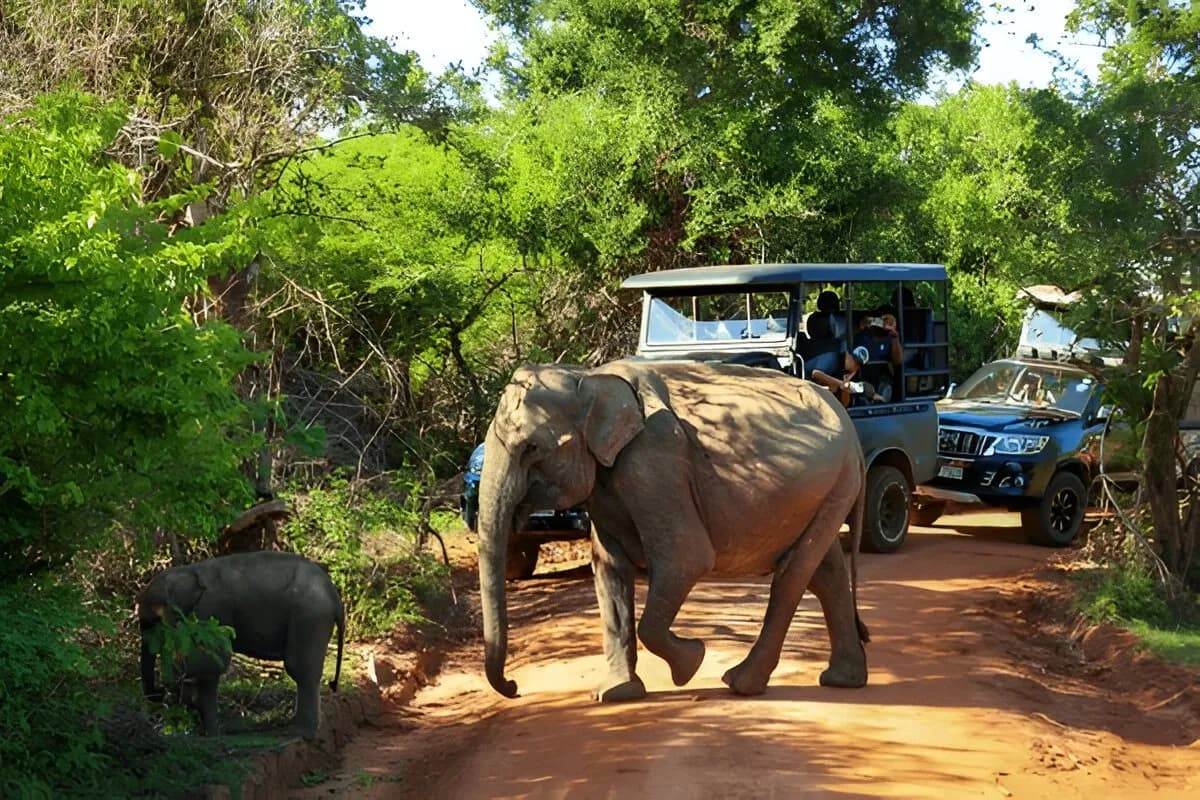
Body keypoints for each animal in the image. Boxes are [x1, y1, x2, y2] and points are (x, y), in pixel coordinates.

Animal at [138, 551, 345, 738]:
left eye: (154, 623)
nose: (158, 693)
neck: (187, 572)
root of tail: (335, 595)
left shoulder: (210, 612)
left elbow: (213, 663)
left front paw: (211, 734)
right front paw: (205, 731)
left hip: (309, 616)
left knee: (300, 670)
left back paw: (296, 733)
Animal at [477, 359, 871, 702]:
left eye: (531, 448)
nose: (514, 687)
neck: (587, 377)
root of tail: (847, 419)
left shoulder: (653, 461)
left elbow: (686, 559)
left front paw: (691, 663)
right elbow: (609, 571)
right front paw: (614, 694)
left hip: (839, 479)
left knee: (793, 575)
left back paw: (740, 683)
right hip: (829, 489)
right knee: (827, 572)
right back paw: (843, 680)